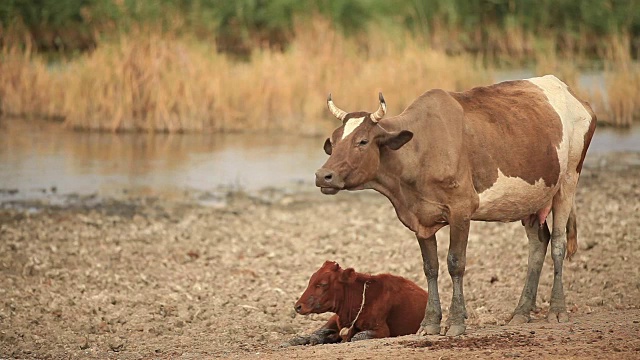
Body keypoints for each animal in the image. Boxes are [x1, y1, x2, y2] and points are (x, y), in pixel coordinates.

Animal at [314, 74, 596, 336]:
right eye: (333, 142)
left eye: (362, 141)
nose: (322, 175)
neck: (422, 149)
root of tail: (571, 93)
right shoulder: (420, 218)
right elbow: (431, 267)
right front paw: (429, 323)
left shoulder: (461, 209)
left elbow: (455, 263)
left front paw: (456, 321)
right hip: (530, 199)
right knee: (538, 243)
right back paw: (521, 312)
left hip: (568, 179)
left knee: (558, 243)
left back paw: (557, 310)